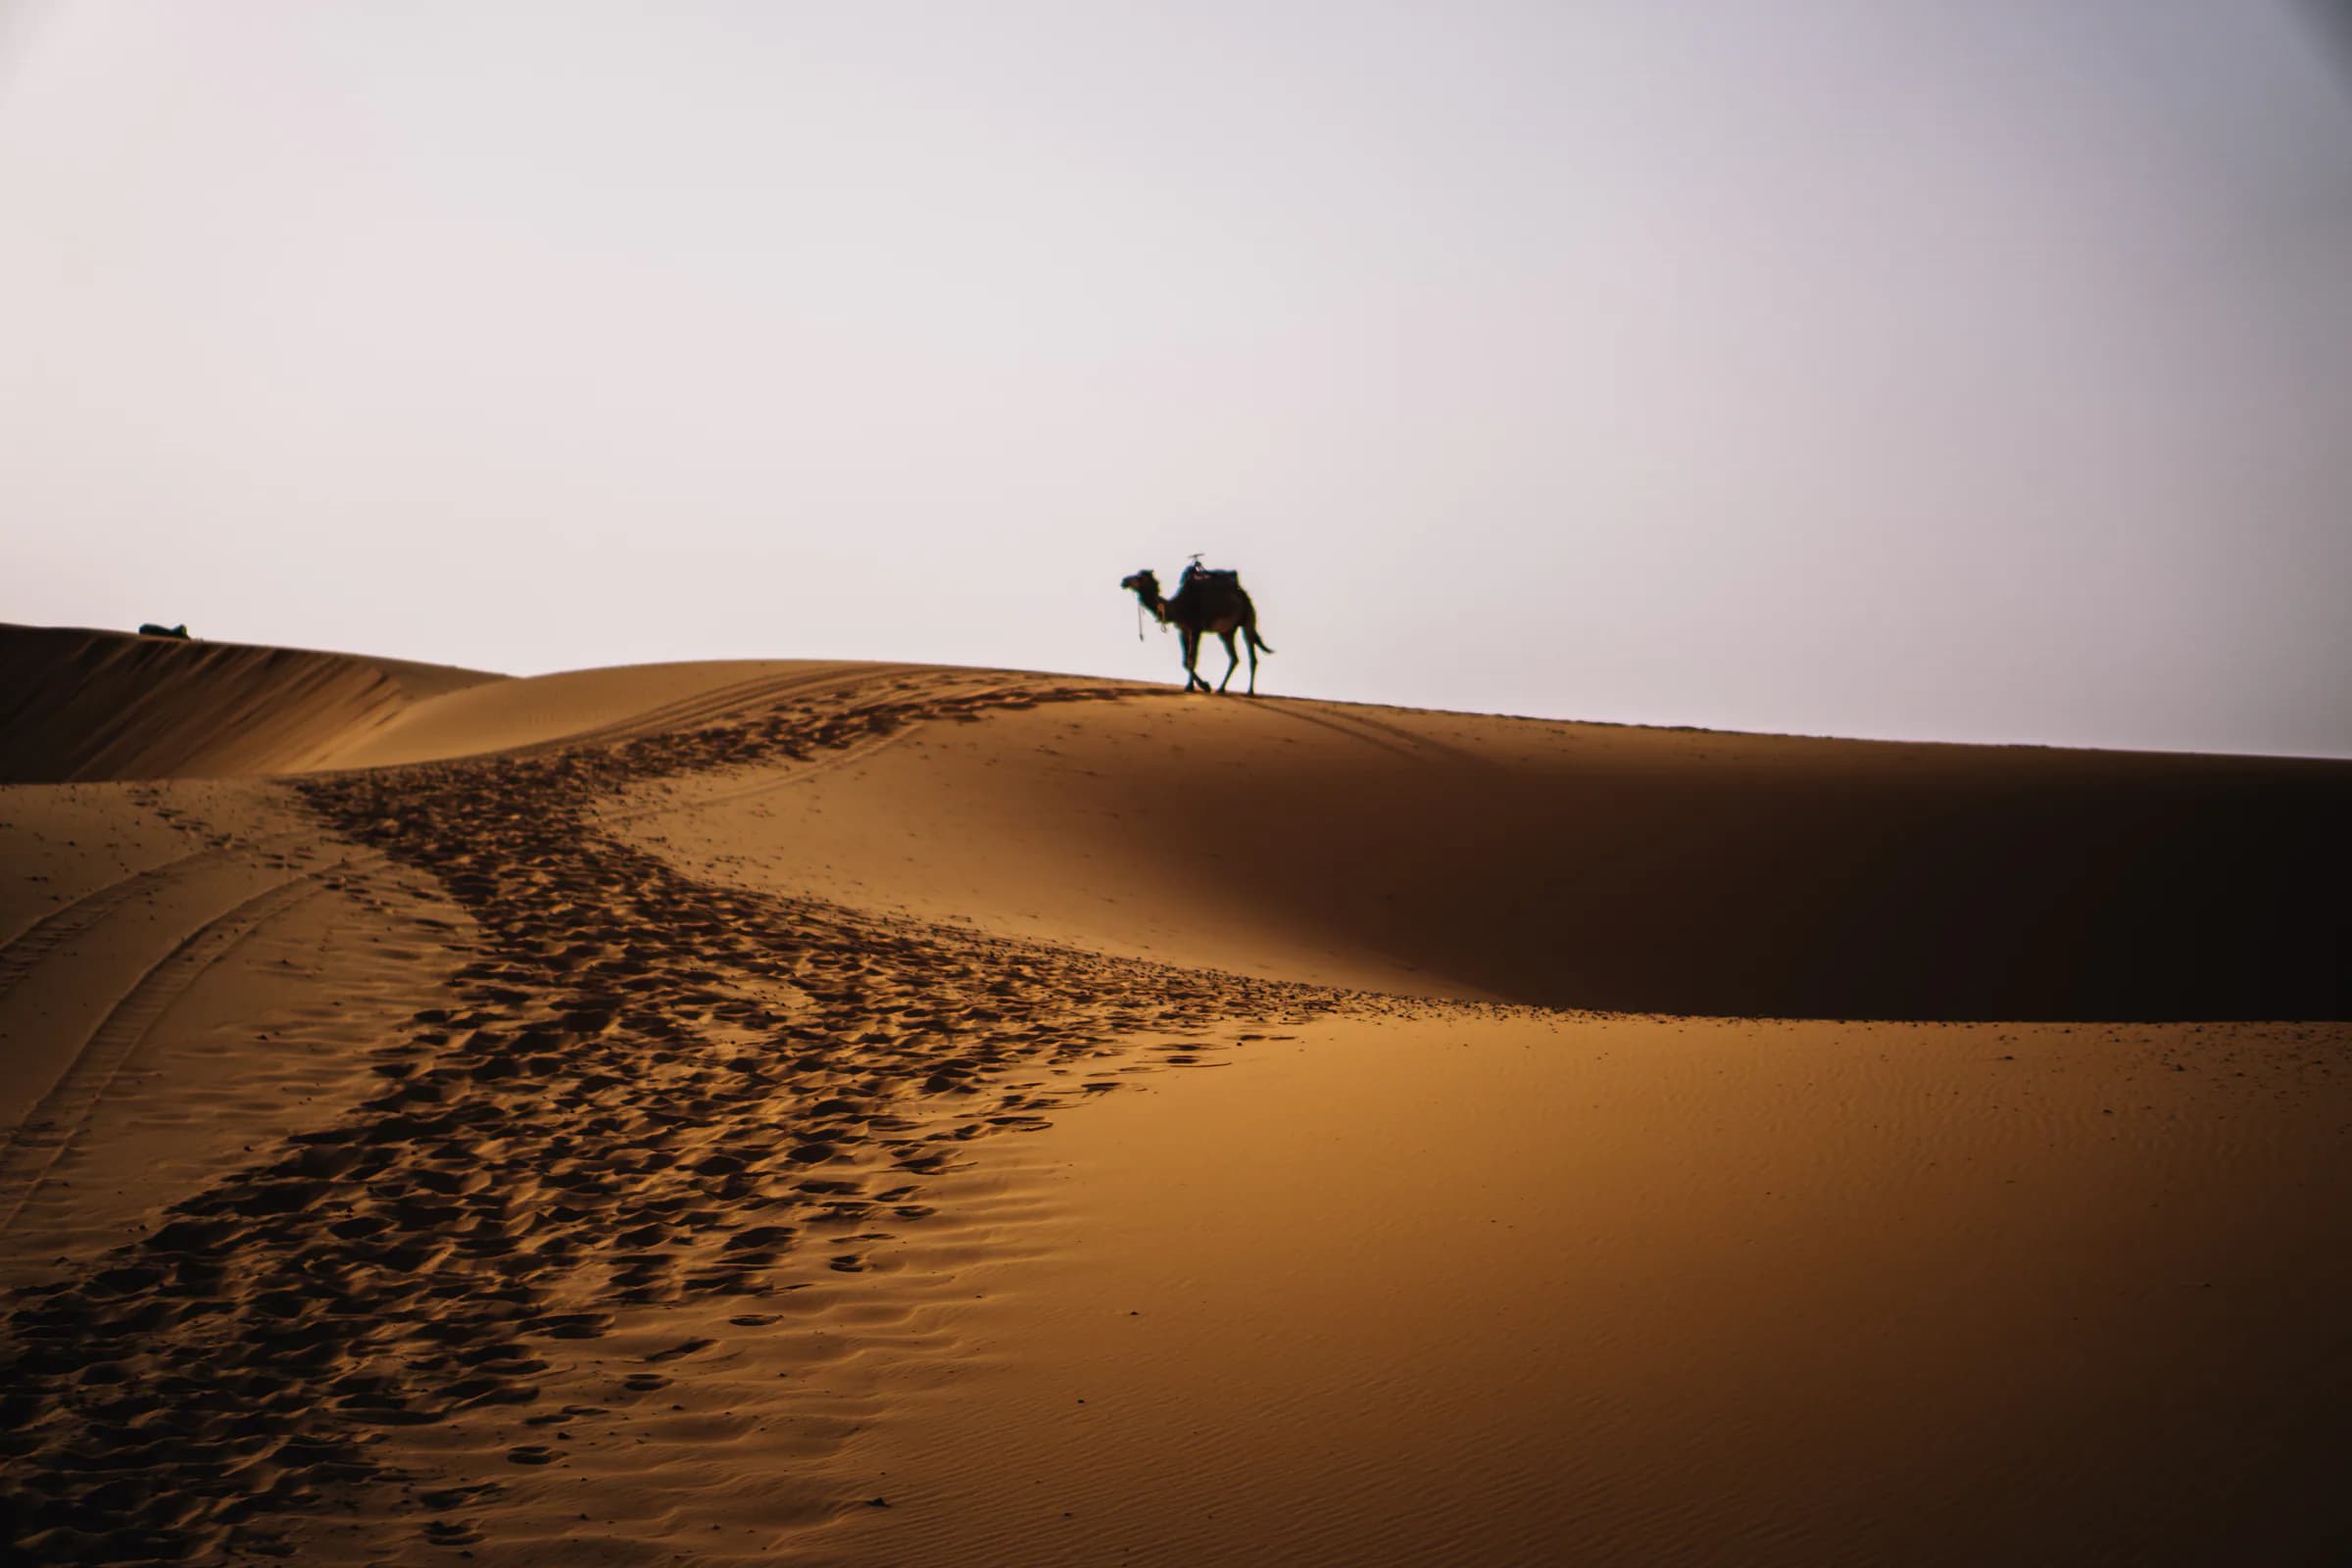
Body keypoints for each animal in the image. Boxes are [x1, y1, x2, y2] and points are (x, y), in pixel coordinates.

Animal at [1120, 563, 1273, 695]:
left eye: (1140, 577)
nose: (1124, 581)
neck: (1178, 607)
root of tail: (1243, 594)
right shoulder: (1183, 630)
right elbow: (1185, 661)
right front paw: (1191, 687)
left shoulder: (1196, 629)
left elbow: (1192, 659)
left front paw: (1205, 686)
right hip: (1226, 632)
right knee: (1234, 658)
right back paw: (1221, 689)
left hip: (1248, 619)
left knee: (1251, 654)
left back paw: (1250, 691)